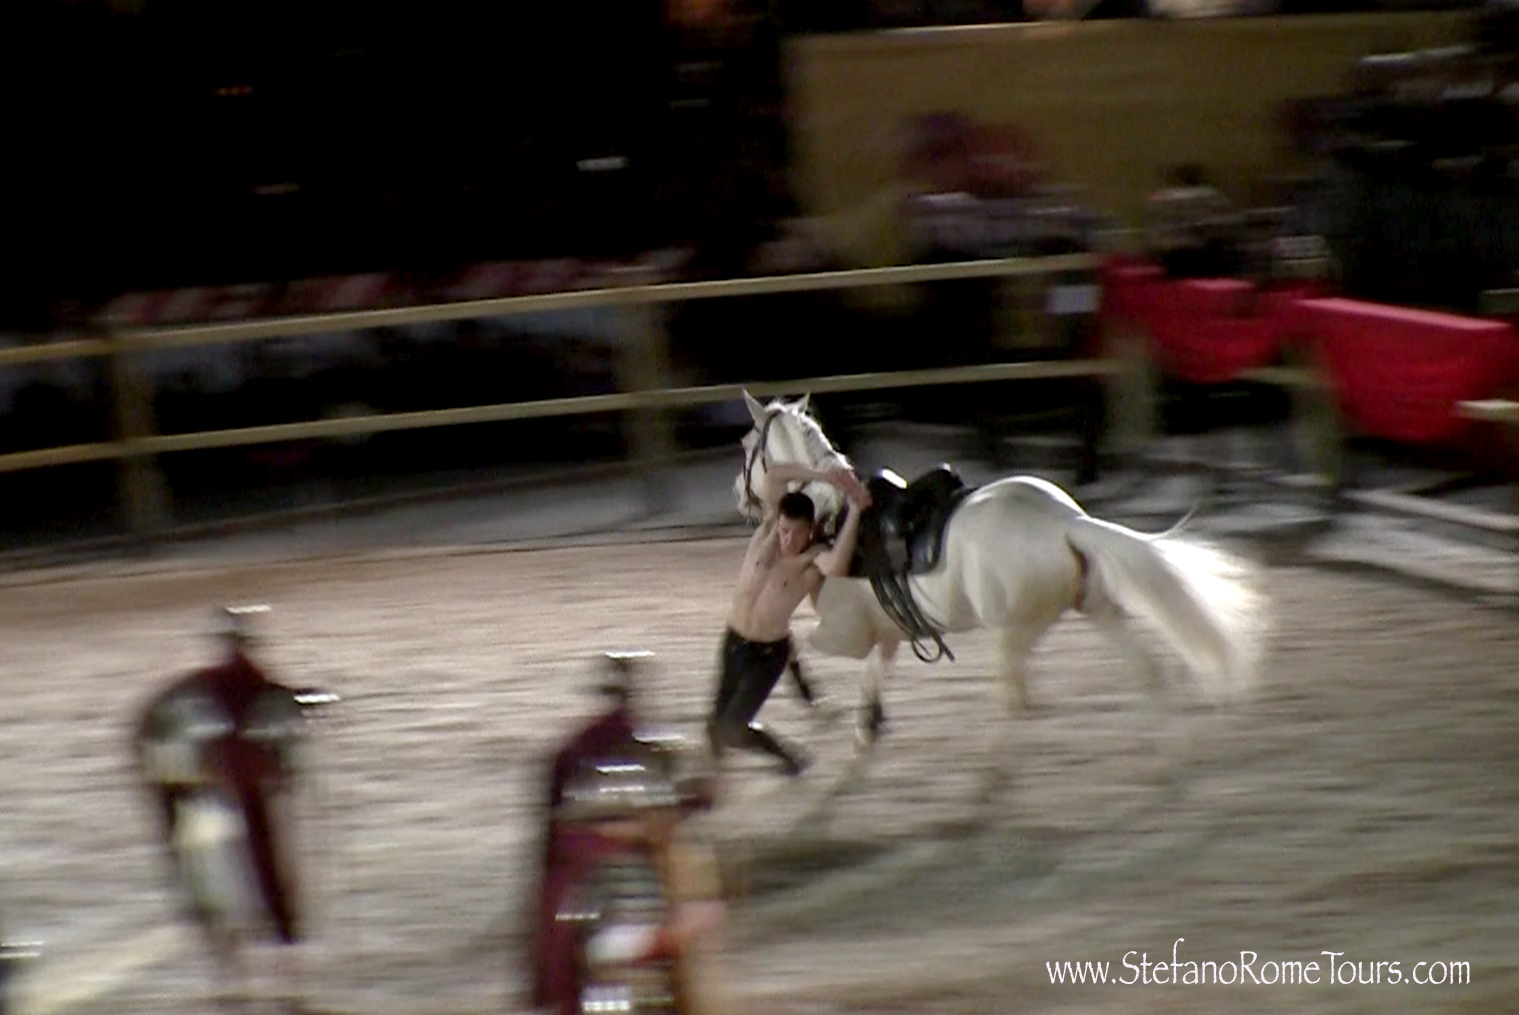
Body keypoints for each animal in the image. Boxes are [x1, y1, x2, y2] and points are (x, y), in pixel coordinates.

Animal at [735, 392, 1269, 765]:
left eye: (746, 446)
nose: (740, 496)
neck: (838, 518)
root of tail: (1066, 521)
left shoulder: (845, 634)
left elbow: (792, 641)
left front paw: (818, 705)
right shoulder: (889, 634)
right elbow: (871, 677)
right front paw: (867, 729)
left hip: (1013, 634)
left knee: (1017, 705)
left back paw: (989, 780)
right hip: (1095, 607)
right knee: (1145, 672)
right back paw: (1167, 758)